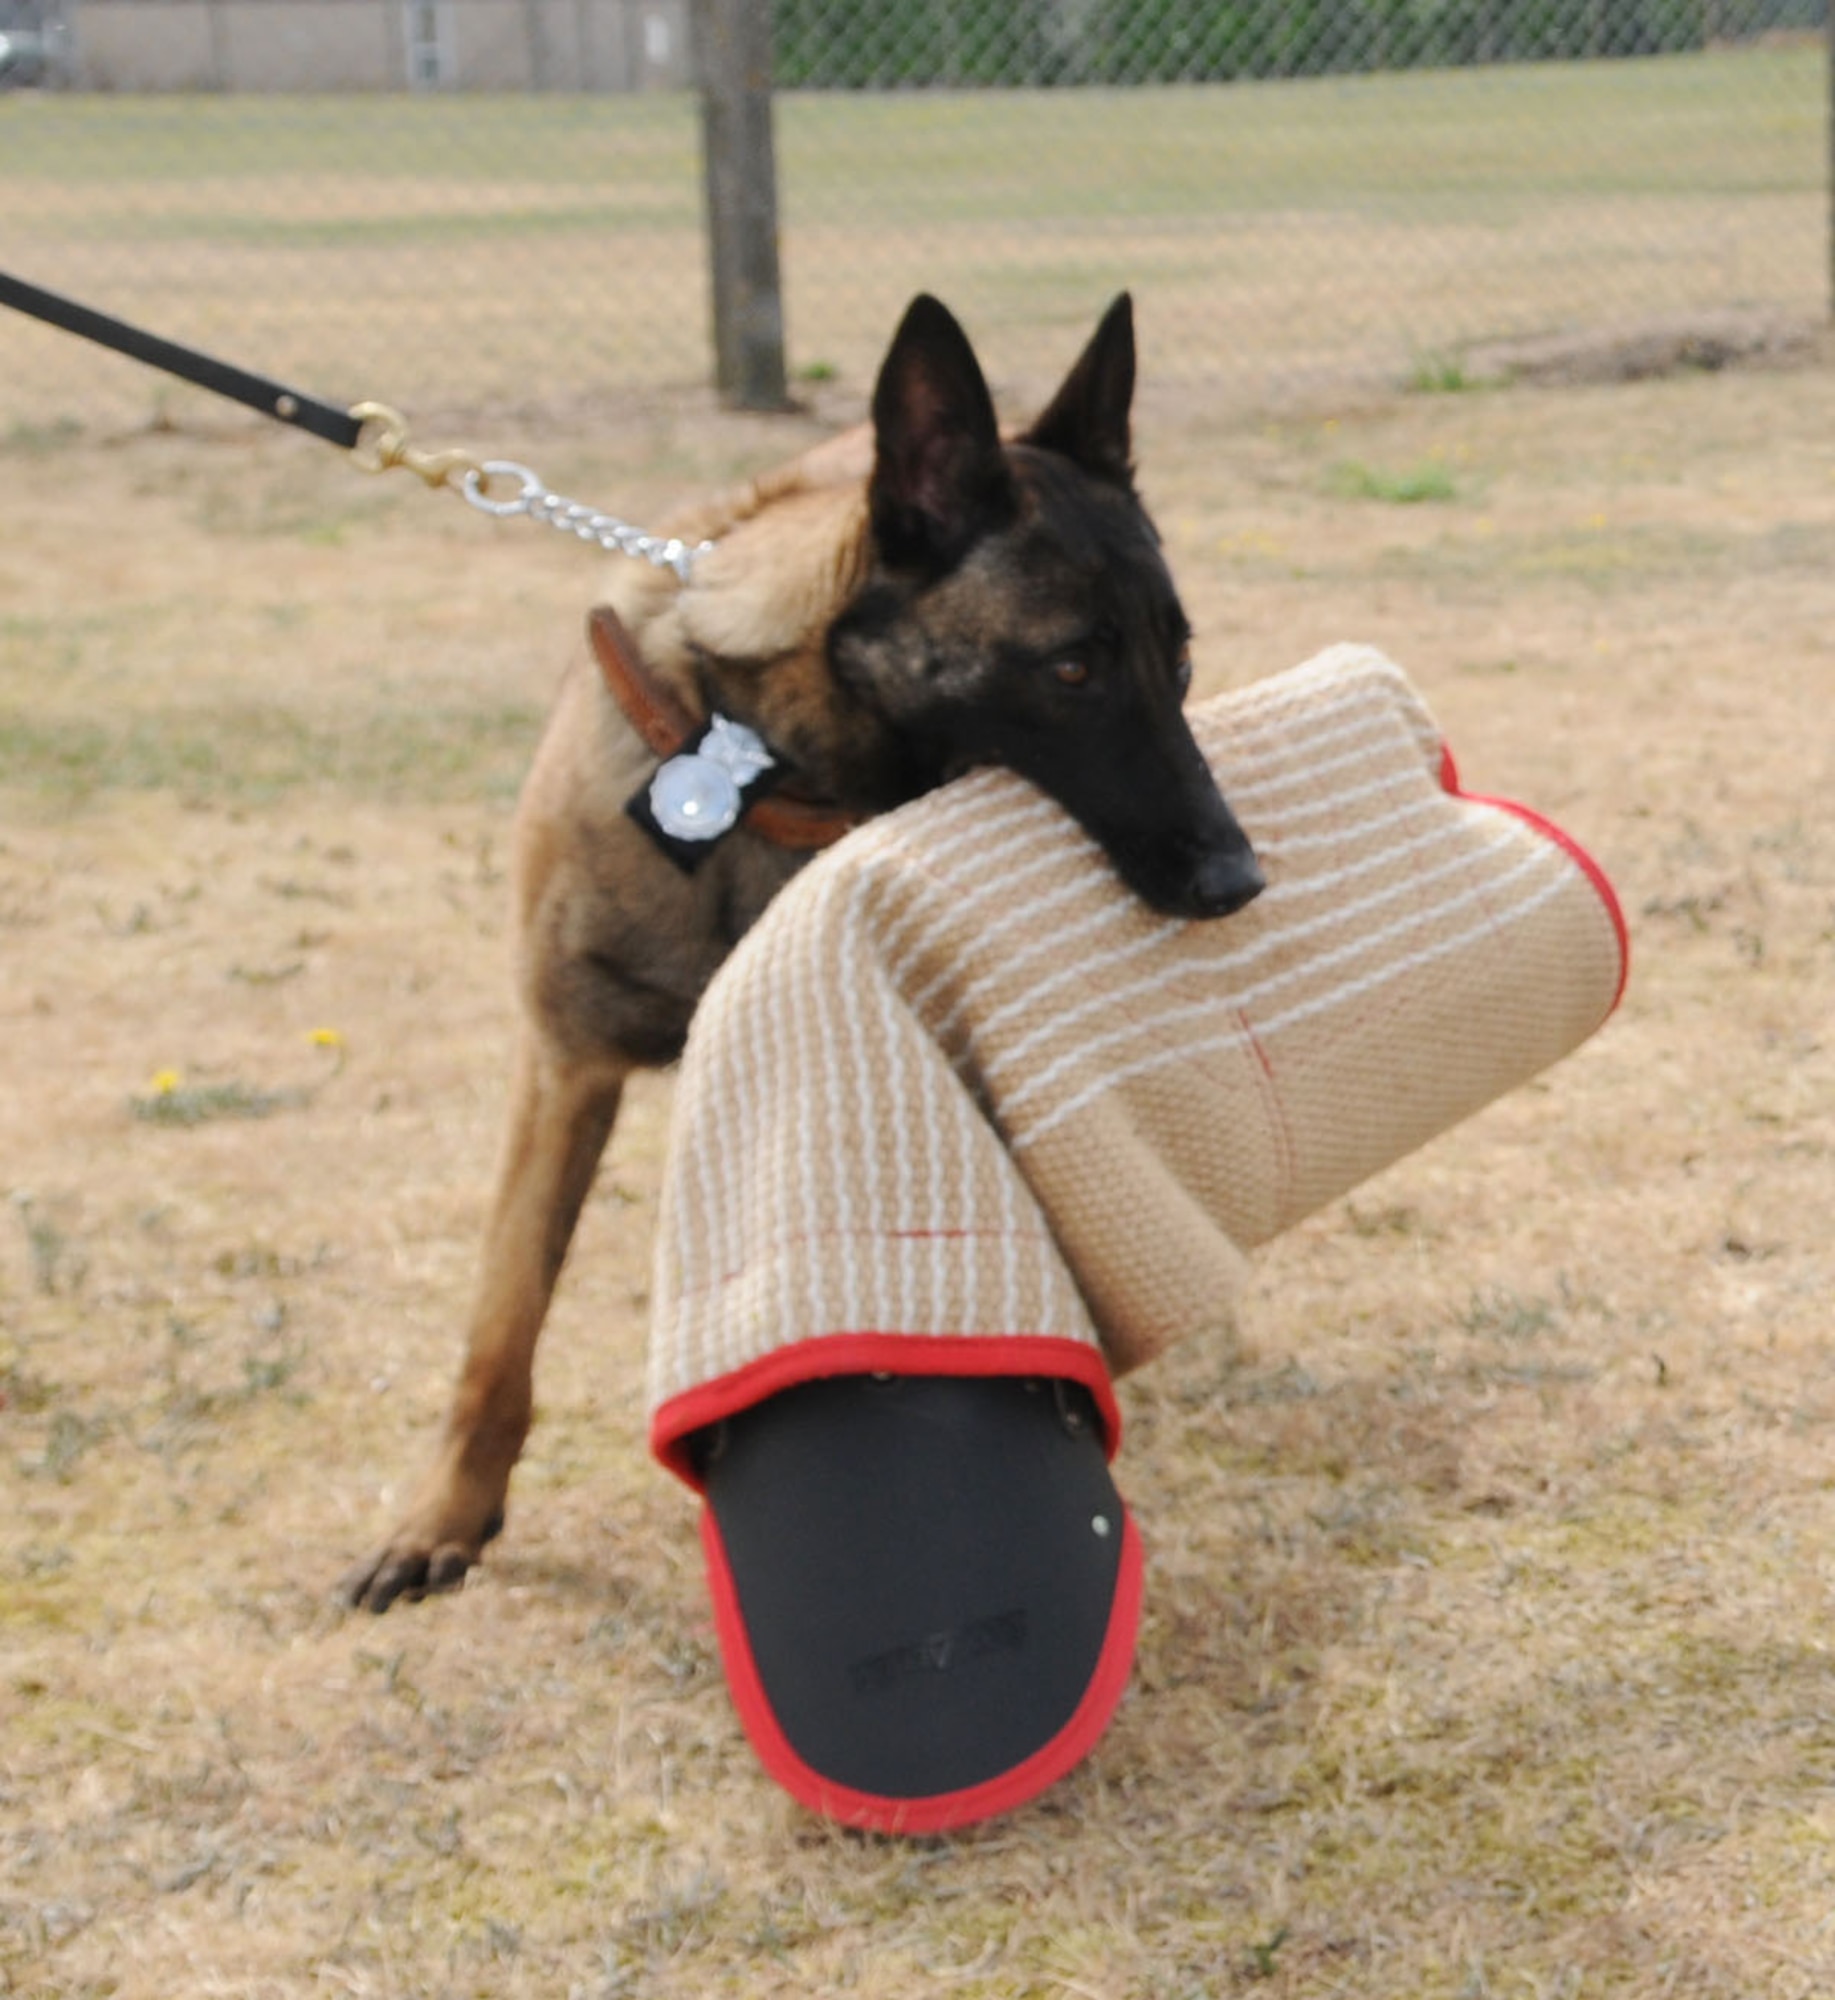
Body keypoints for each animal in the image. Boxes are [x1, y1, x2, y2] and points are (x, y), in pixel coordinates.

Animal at [341, 292, 1263, 1608]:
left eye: (1177, 659)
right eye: (1071, 665)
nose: (1238, 879)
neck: (760, 770)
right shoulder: (563, 1065)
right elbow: (500, 1322)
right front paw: (443, 1518)